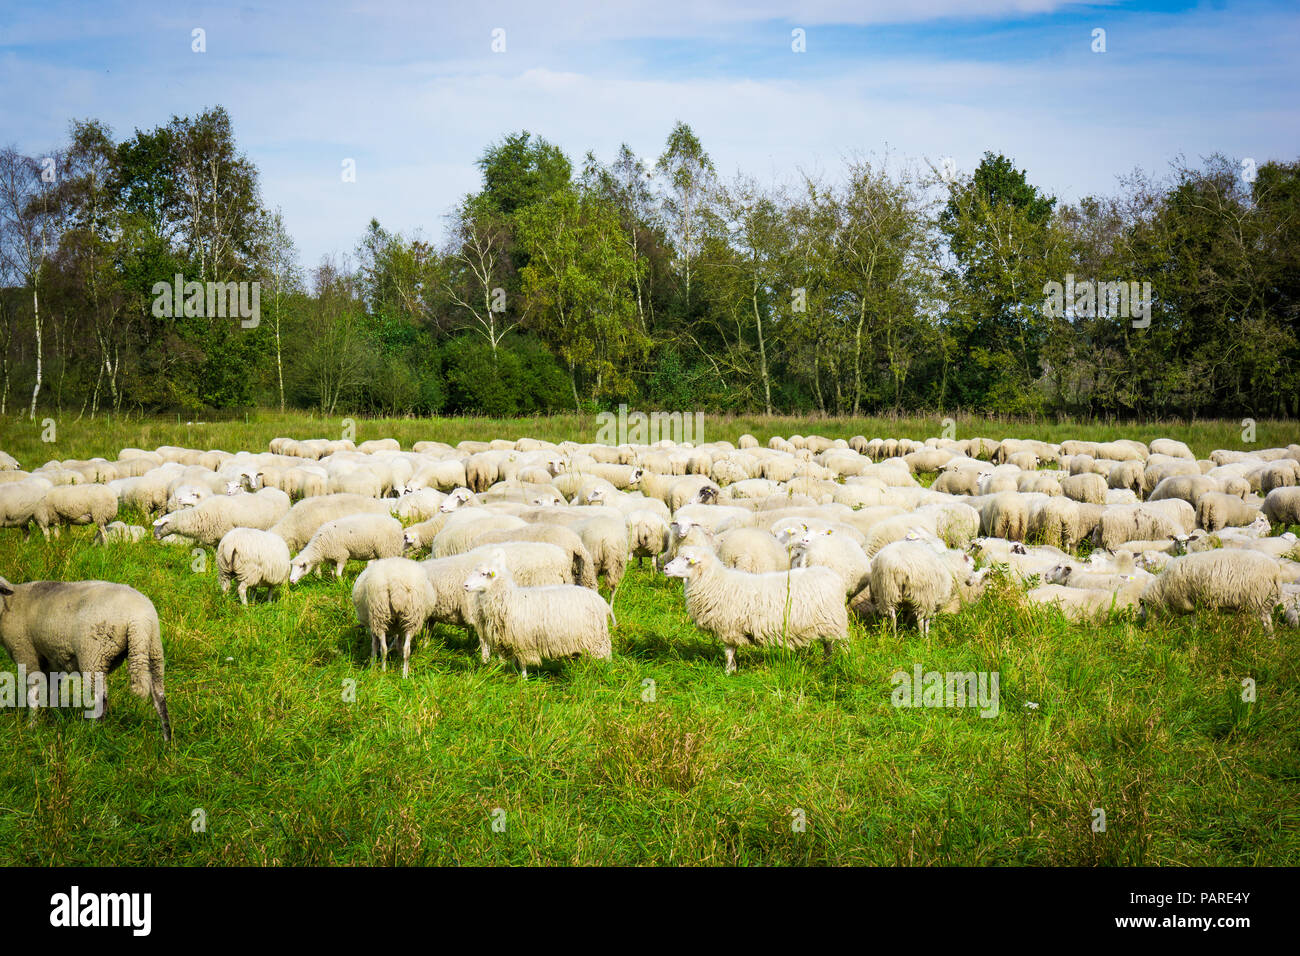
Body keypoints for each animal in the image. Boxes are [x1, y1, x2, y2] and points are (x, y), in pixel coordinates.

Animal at [0, 574, 170, 738]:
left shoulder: (25, 652)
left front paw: (31, 727)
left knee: (101, 697)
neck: (10, 604)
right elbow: (51, 690)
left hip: (95, 654)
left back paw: (93, 732)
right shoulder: (52, 660)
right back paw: (166, 740)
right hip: (154, 650)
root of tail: (139, 618)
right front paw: (52, 718)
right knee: (159, 697)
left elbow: (33, 693)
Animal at [462, 548, 613, 676]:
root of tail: (599, 600)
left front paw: (523, 679)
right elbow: (514, 660)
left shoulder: (522, 639)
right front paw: (513, 674)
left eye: (483, 574)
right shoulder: (510, 639)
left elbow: (523, 662)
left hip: (597, 638)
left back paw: (602, 672)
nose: (465, 585)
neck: (508, 599)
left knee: (605, 657)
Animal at [660, 548, 852, 676]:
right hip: (826, 625)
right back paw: (827, 664)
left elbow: (728, 653)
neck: (715, 583)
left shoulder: (728, 627)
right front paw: (732, 670)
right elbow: (732, 652)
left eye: (687, 558)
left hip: (835, 622)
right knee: (828, 646)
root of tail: (833, 575)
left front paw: (728, 672)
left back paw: (844, 664)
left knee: (843, 645)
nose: (665, 569)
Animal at [1138, 548, 1279, 632]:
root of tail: (1275, 571)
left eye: (1145, 608)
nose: (1147, 629)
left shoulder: (1187, 601)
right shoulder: (1194, 604)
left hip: (1257, 601)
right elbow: (1194, 620)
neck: (1163, 589)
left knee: (1267, 626)